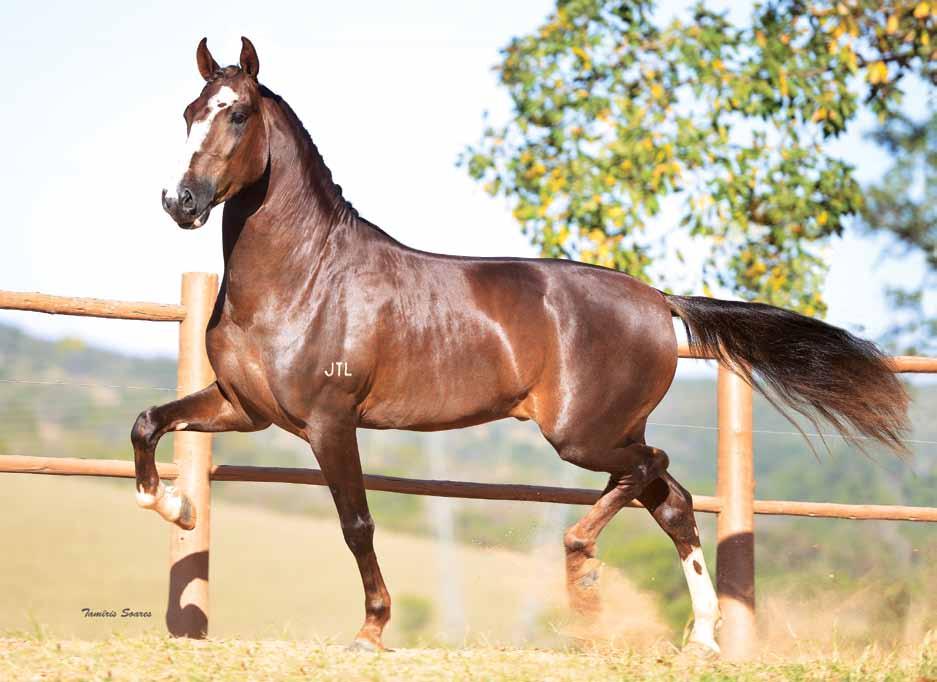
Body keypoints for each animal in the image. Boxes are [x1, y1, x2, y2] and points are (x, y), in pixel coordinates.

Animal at [135, 38, 912, 652]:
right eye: (187, 114)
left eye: (236, 114)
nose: (180, 203)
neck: (303, 278)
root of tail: (657, 298)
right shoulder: (243, 407)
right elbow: (149, 423)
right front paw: (177, 506)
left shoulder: (331, 422)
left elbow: (357, 523)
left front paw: (371, 631)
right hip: (610, 430)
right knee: (673, 502)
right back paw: (699, 638)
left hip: (582, 435)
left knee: (651, 474)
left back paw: (583, 568)